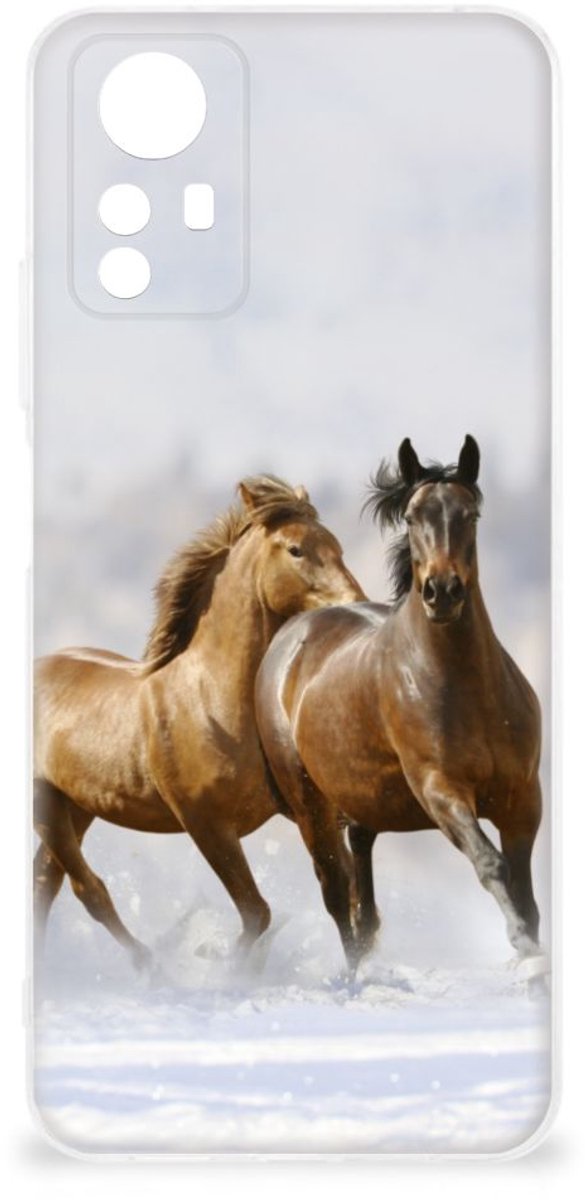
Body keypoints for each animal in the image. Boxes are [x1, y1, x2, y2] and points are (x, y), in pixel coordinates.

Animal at [34, 475, 365, 967]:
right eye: (296, 550)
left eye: (337, 545)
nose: (356, 604)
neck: (212, 701)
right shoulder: (205, 824)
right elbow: (257, 913)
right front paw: (222, 965)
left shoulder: (306, 809)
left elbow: (339, 886)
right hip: (46, 802)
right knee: (85, 888)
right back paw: (150, 964)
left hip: (77, 805)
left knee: (45, 880)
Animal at [255, 437, 542, 970]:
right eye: (411, 517)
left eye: (470, 514)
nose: (442, 592)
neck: (467, 690)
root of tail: (290, 636)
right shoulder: (440, 790)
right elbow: (492, 865)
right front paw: (524, 949)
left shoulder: (523, 799)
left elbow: (526, 892)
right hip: (310, 806)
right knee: (336, 893)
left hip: (361, 802)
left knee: (362, 894)